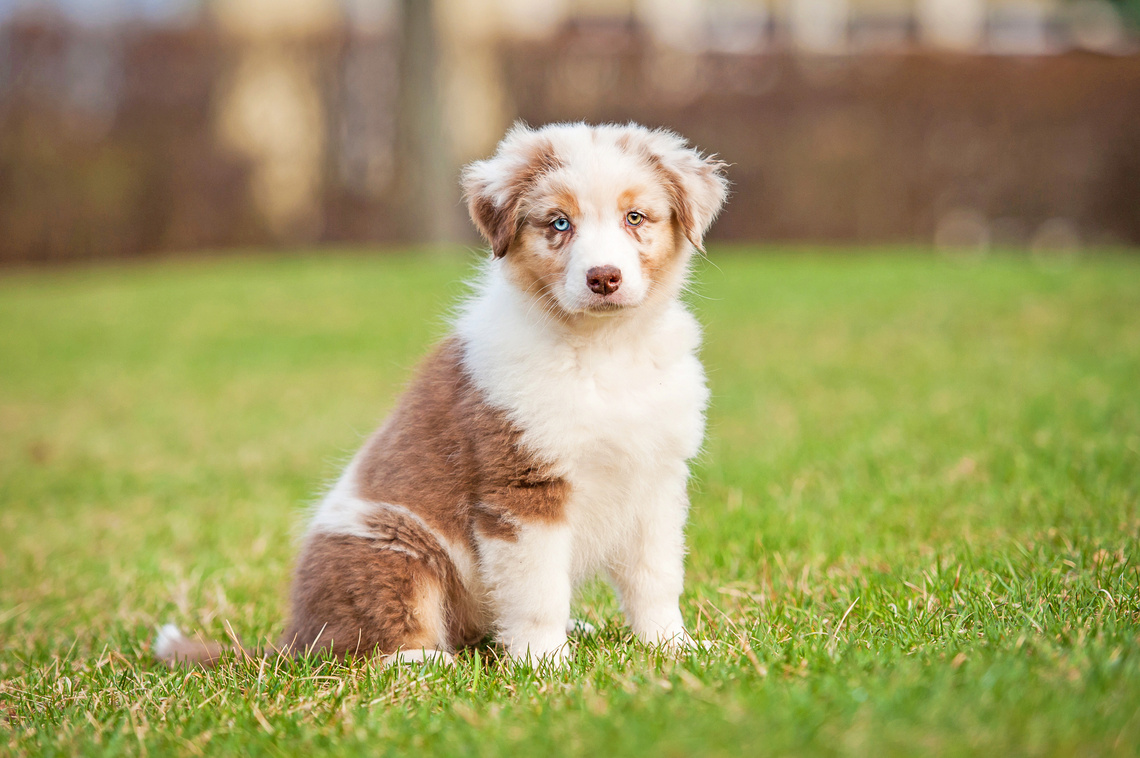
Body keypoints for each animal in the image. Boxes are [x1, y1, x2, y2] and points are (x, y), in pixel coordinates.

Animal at [153, 121, 729, 665]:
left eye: (635, 218)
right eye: (559, 223)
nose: (604, 278)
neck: (604, 349)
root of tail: (295, 637)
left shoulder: (655, 482)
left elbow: (656, 581)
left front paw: (673, 648)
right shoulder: (521, 490)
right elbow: (538, 592)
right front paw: (546, 664)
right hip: (393, 549)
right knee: (366, 648)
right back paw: (431, 663)